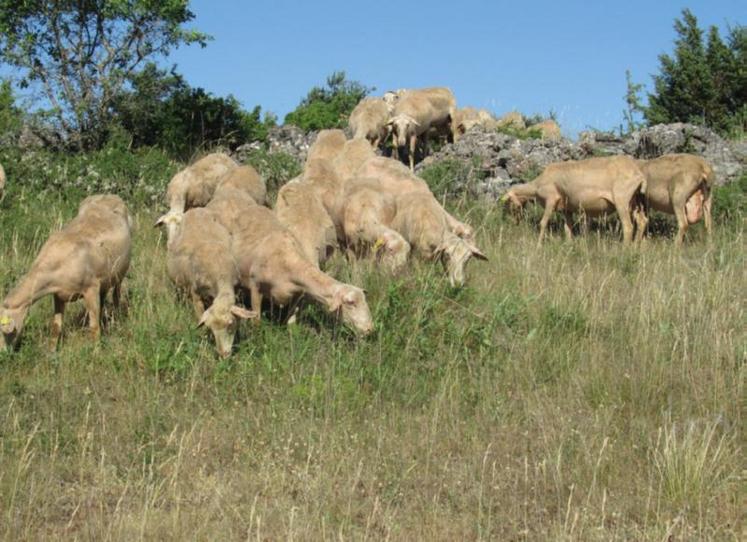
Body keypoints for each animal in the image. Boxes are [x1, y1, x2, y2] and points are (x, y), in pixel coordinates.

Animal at [0, 196, 132, 352]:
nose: (3, 354)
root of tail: (110, 196)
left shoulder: (91, 288)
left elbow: (94, 328)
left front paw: (96, 351)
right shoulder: (58, 294)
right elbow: (56, 326)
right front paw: (51, 351)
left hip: (121, 271)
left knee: (116, 295)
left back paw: (116, 319)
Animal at [228, 205, 374, 336]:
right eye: (350, 303)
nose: (369, 329)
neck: (289, 262)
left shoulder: (298, 295)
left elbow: (291, 322)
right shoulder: (255, 286)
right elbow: (256, 321)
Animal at [502, 155, 648, 244]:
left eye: (508, 203)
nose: (513, 222)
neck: (536, 185)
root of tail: (639, 175)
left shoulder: (551, 199)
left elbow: (543, 223)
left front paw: (538, 245)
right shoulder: (567, 208)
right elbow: (568, 228)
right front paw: (569, 244)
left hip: (621, 199)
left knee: (628, 226)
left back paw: (624, 249)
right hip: (634, 201)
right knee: (642, 221)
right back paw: (635, 246)